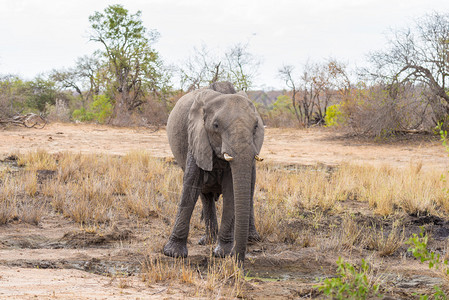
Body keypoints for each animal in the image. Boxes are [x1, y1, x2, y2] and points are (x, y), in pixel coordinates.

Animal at [164, 80, 262, 264]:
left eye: (255, 127)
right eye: (216, 126)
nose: (238, 260)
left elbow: (232, 190)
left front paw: (222, 253)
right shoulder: (196, 137)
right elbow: (191, 186)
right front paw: (173, 253)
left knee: (249, 190)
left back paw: (252, 238)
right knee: (205, 195)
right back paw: (208, 240)